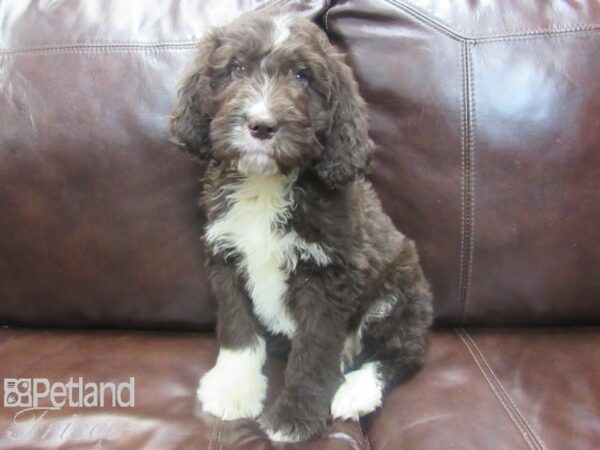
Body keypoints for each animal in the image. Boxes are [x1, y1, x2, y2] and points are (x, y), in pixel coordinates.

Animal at [168, 8, 432, 442]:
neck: (267, 184)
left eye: (302, 77)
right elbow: (238, 328)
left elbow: (313, 351)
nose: (261, 124)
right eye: (236, 68)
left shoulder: (328, 277)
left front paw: (294, 415)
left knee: (402, 353)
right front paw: (233, 388)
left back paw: (356, 390)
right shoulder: (227, 256)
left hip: (399, 291)